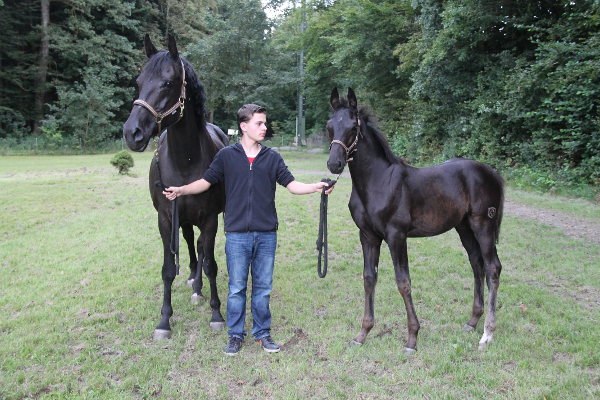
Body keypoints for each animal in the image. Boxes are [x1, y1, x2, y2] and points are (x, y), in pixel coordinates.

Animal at [122, 34, 228, 339]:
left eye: (168, 83)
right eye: (138, 81)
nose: (132, 133)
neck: (186, 160)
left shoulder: (210, 218)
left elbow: (211, 264)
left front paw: (216, 314)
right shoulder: (166, 218)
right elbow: (169, 269)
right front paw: (164, 320)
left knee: (202, 250)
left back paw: (198, 288)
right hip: (184, 220)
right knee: (192, 245)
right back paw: (193, 280)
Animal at [326, 88, 505, 353]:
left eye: (352, 127)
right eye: (330, 126)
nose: (334, 163)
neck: (377, 182)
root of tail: (490, 171)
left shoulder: (396, 236)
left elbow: (403, 282)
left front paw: (412, 338)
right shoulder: (368, 236)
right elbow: (369, 279)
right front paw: (362, 333)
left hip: (483, 224)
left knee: (492, 267)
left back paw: (487, 333)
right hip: (463, 227)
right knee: (477, 264)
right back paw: (472, 321)